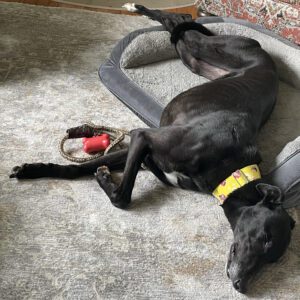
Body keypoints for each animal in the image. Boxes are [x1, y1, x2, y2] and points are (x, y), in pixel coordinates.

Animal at [9, 4, 296, 292]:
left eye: (273, 258)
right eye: (266, 237)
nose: (241, 285)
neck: (232, 167)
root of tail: (265, 57)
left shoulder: (143, 152)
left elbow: (91, 174)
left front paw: (42, 170)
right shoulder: (144, 137)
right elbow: (121, 196)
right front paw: (95, 176)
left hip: (196, 62)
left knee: (178, 32)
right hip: (211, 48)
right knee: (181, 23)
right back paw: (142, 9)